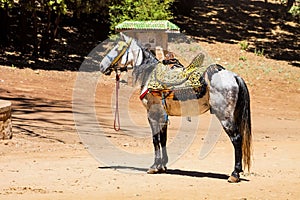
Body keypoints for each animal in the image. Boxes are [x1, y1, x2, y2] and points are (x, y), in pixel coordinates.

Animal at [98, 33, 251, 183]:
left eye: (117, 49)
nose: (101, 66)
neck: (149, 74)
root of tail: (234, 76)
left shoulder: (152, 114)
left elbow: (155, 139)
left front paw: (154, 166)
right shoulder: (162, 115)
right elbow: (163, 139)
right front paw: (162, 165)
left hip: (225, 117)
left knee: (237, 139)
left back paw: (234, 174)